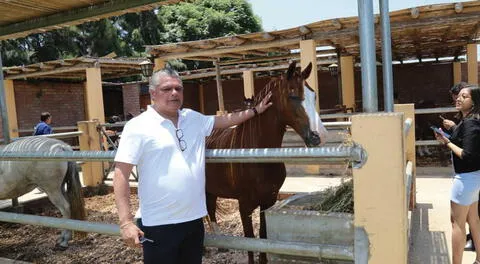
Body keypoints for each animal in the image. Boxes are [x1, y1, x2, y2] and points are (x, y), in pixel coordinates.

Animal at [206, 60, 326, 262]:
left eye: (314, 95)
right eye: (293, 95)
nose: (319, 136)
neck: (257, 156)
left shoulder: (267, 200)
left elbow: (263, 237)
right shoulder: (244, 206)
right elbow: (249, 240)